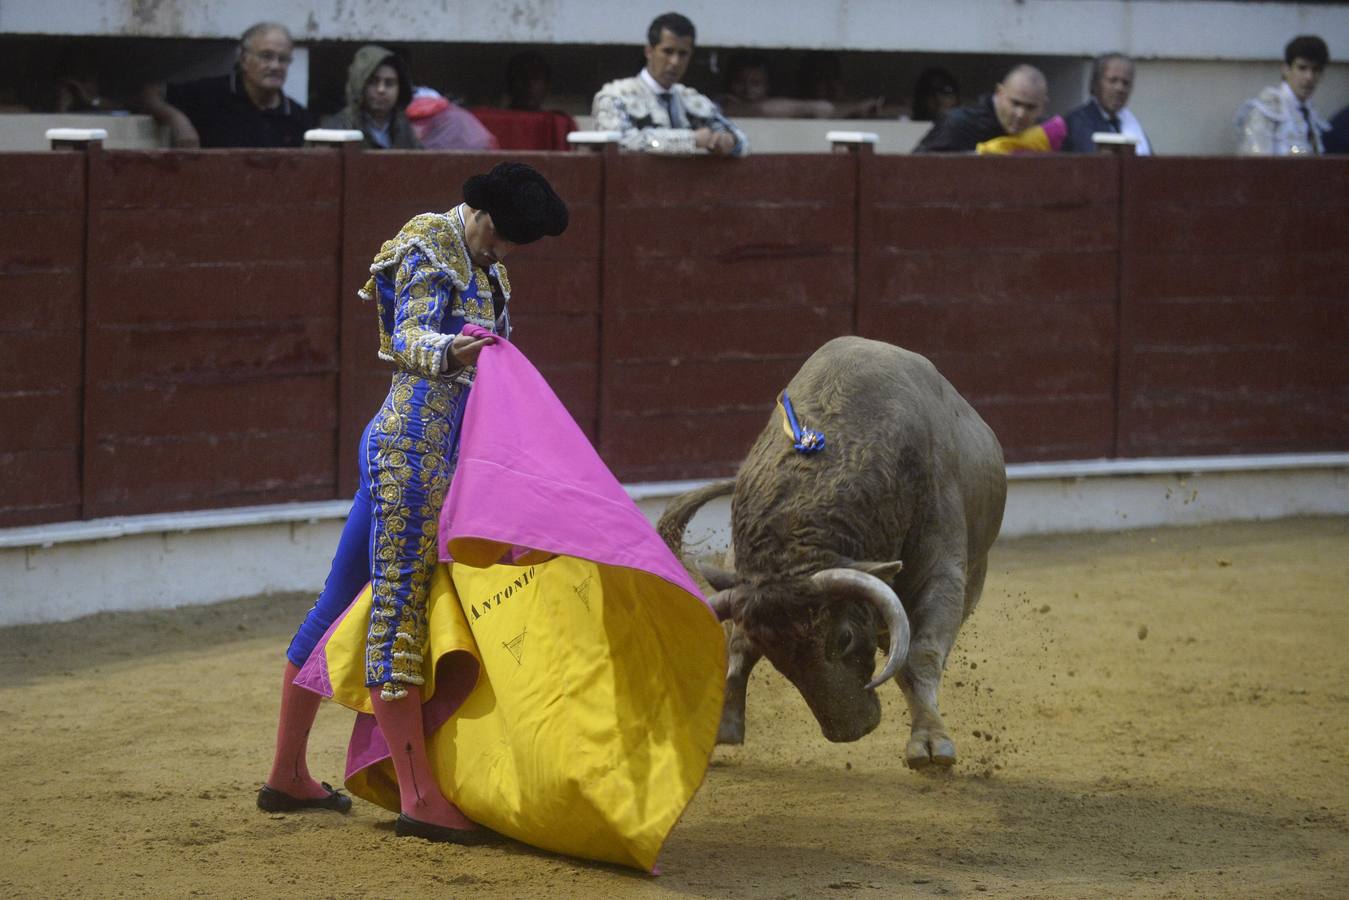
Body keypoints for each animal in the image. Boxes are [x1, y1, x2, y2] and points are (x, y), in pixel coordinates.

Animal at [658, 334, 1009, 771]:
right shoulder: (745, 579)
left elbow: (921, 654)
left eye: (843, 637)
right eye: (774, 654)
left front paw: (931, 743)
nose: (850, 731)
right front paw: (722, 726)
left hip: (972, 578)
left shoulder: (941, 568)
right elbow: (737, 645)